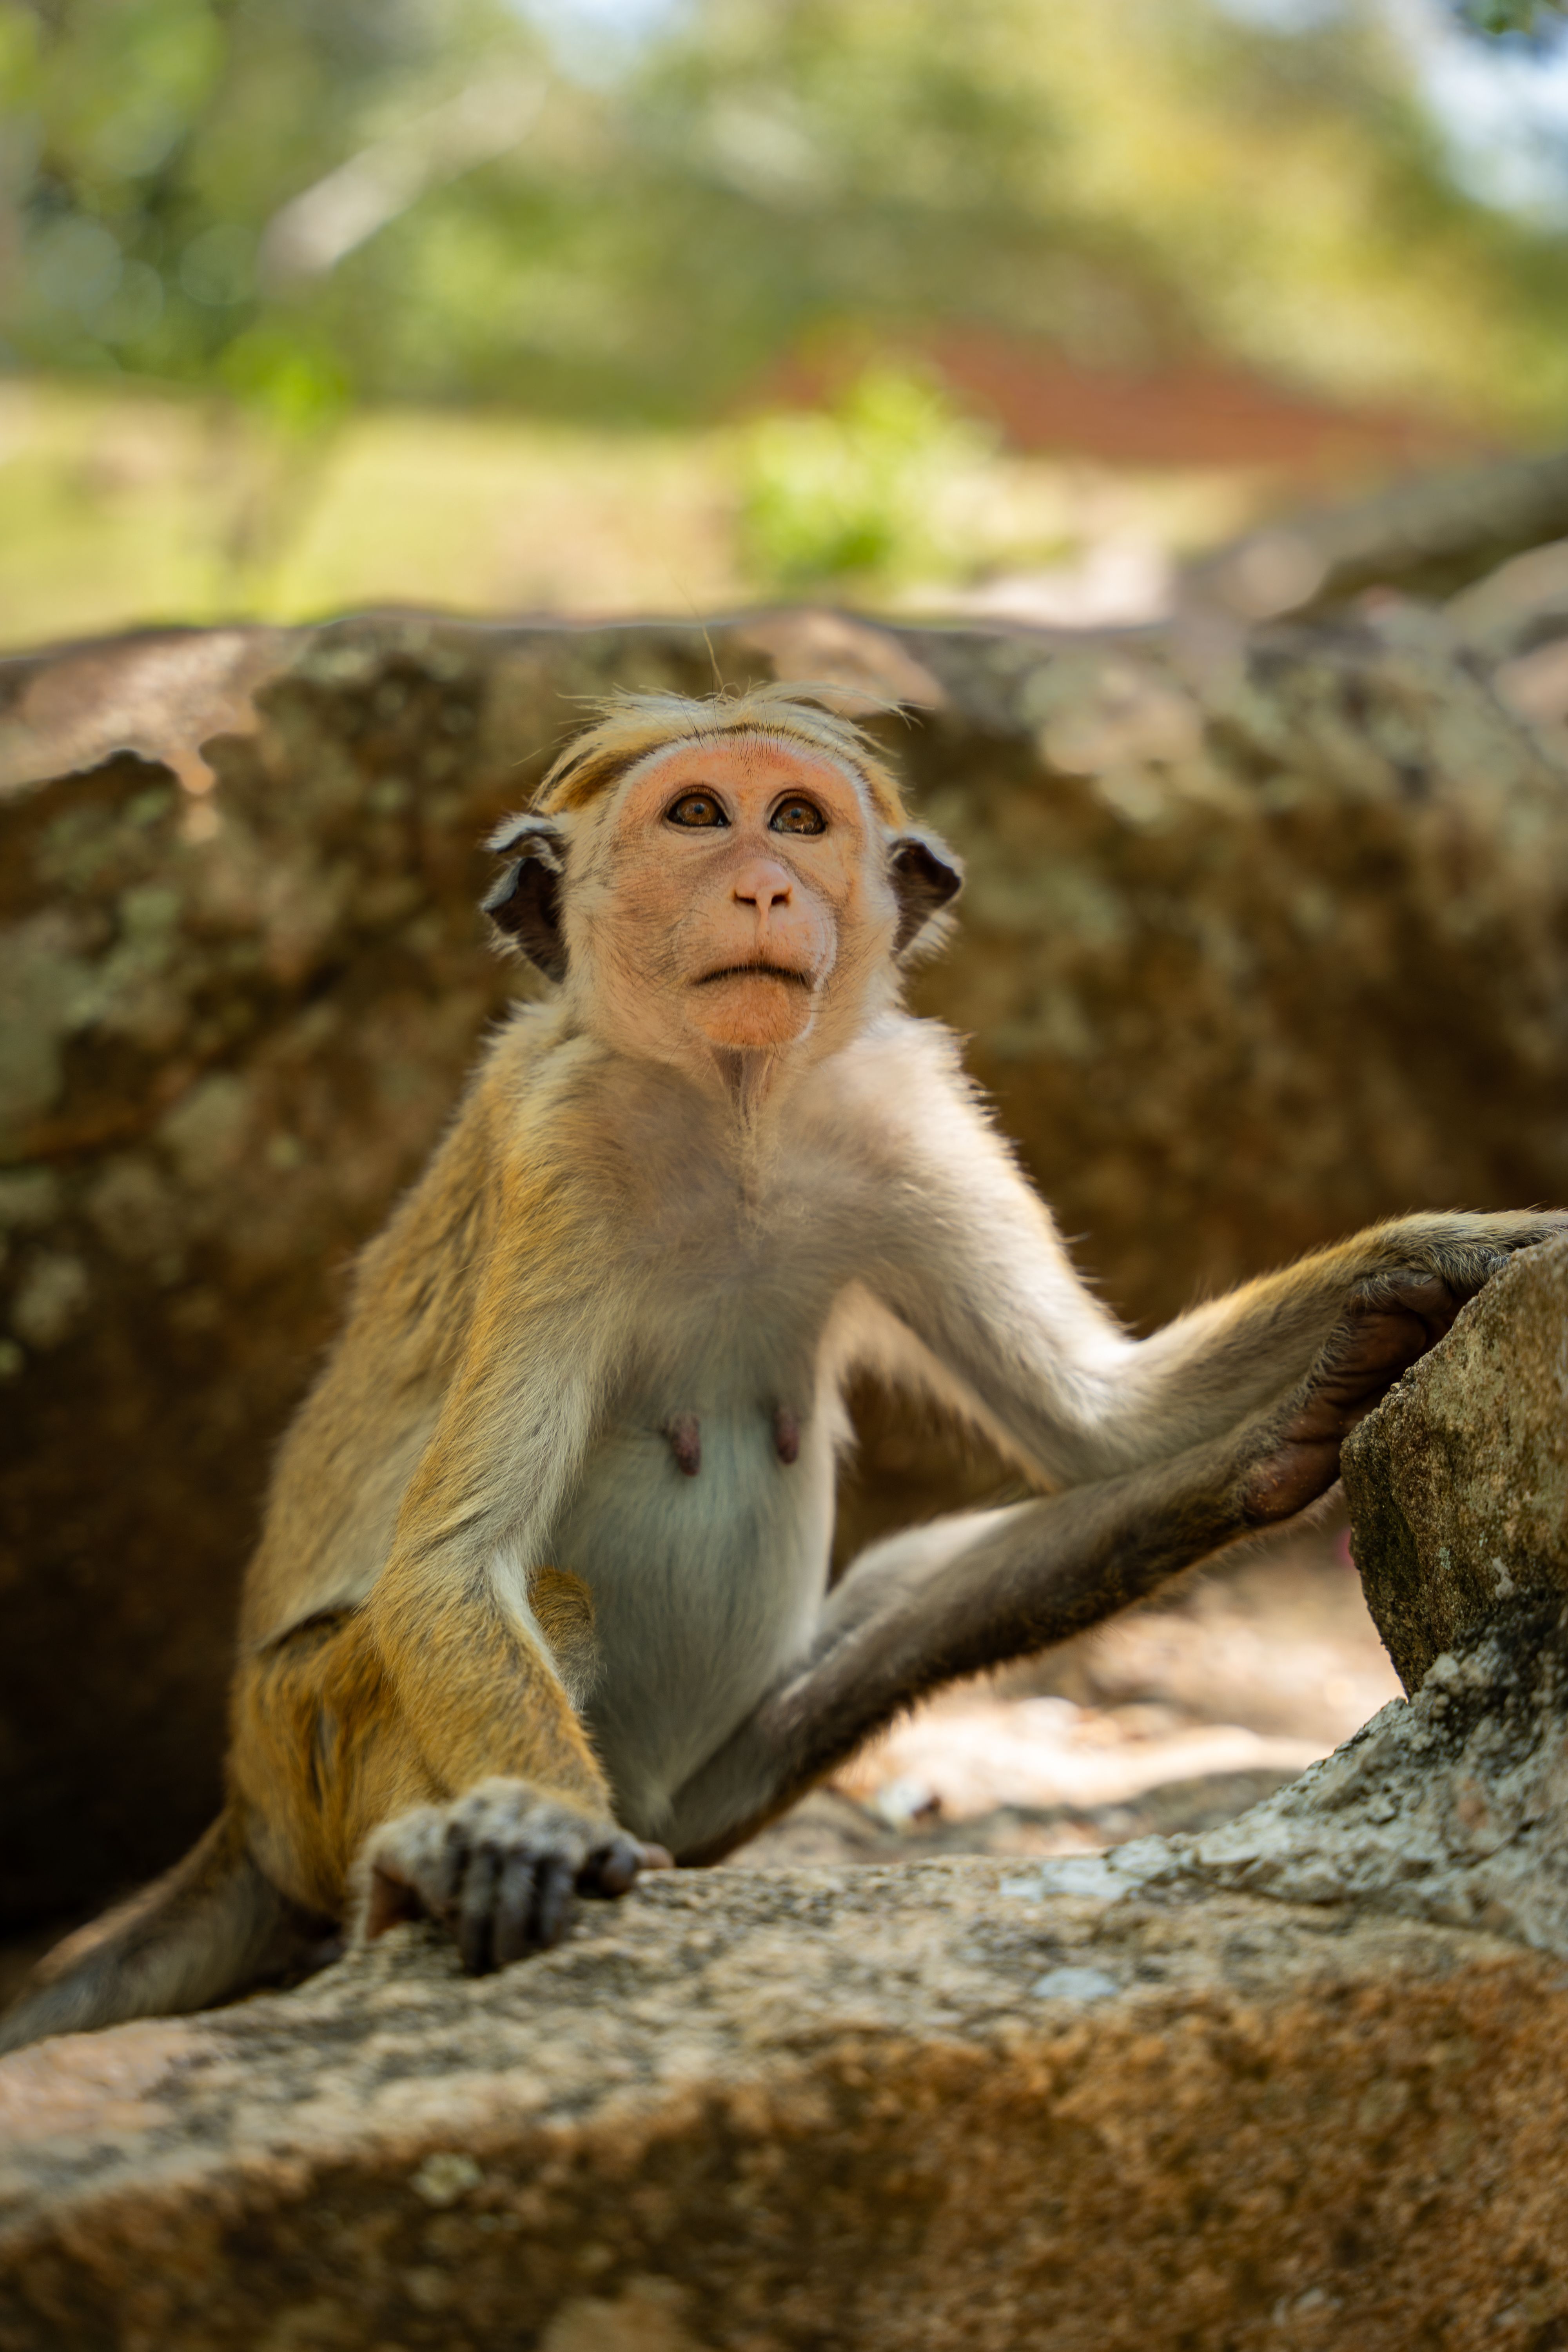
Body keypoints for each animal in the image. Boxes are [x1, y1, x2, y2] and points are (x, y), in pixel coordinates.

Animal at [3, 680, 1561, 2053]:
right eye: (699, 814)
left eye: (797, 819)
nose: (762, 887)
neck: (734, 1108)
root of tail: (241, 1808)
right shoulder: (558, 1147)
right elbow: (450, 1566)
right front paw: (528, 1826)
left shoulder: (897, 1113)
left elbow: (1099, 1419)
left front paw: (1441, 1253)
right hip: (302, 1731)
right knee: (534, 1610)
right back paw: (420, 1869)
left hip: (706, 1790)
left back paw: (1268, 1448)